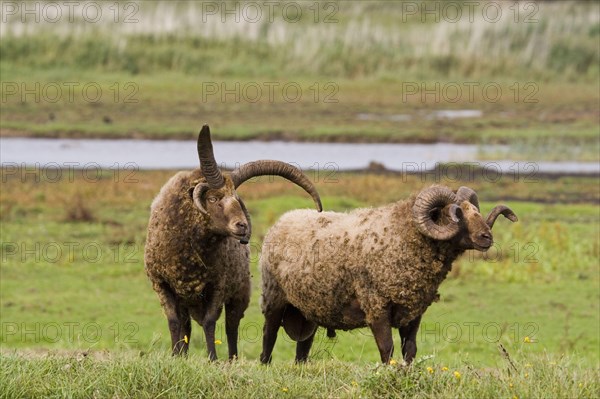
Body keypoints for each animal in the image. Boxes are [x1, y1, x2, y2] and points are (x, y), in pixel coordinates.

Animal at [144, 124, 324, 360]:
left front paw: (212, 359)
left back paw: (232, 359)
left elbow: (210, 322)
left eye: (236, 199)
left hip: (239, 294)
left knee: (231, 326)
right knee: (187, 327)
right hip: (187, 299)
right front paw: (176, 357)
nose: (242, 226)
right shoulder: (162, 284)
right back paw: (183, 355)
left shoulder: (218, 285)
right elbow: (174, 322)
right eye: (213, 198)